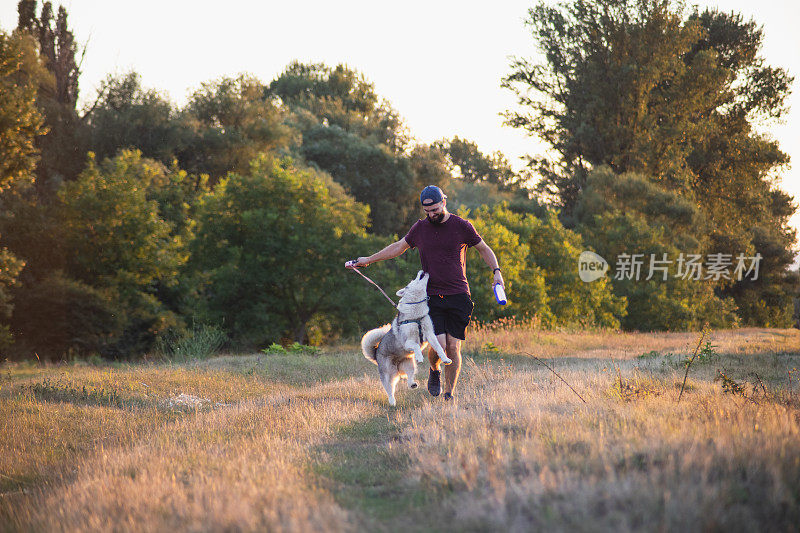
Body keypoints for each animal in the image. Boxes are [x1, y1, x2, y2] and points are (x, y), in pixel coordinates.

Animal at [360, 270, 450, 404]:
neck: (416, 315)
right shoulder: (408, 342)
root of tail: (375, 352)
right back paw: (392, 402)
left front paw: (445, 359)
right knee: (390, 388)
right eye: (413, 279)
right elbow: (416, 346)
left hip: (410, 365)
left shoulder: (430, 335)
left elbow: (439, 348)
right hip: (388, 374)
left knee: (409, 377)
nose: (422, 270)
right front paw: (419, 356)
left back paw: (412, 384)